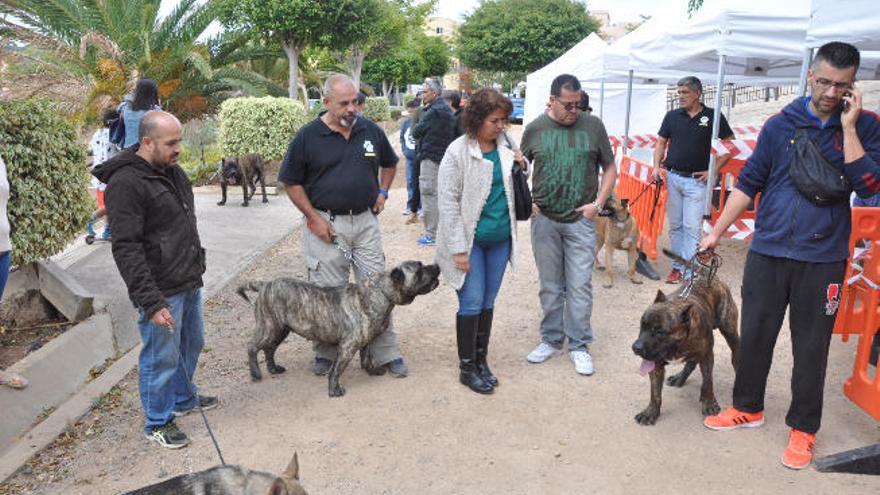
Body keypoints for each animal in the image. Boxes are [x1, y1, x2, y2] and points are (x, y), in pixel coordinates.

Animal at [237, 262, 440, 398]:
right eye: (419, 270)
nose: (436, 265)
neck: (381, 292)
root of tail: (265, 284)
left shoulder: (365, 341)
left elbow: (366, 359)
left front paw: (372, 371)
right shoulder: (347, 347)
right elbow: (335, 371)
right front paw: (334, 390)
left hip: (280, 330)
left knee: (269, 349)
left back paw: (273, 368)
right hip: (269, 327)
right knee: (252, 347)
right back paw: (256, 374)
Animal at [628, 252, 740, 426]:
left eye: (660, 331)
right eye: (642, 325)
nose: (636, 347)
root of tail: (709, 275)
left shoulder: (707, 356)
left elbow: (707, 383)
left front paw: (709, 403)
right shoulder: (655, 364)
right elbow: (655, 393)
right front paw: (651, 412)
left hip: (730, 331)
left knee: (734, 353)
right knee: (691, 361)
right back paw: (680, 377)